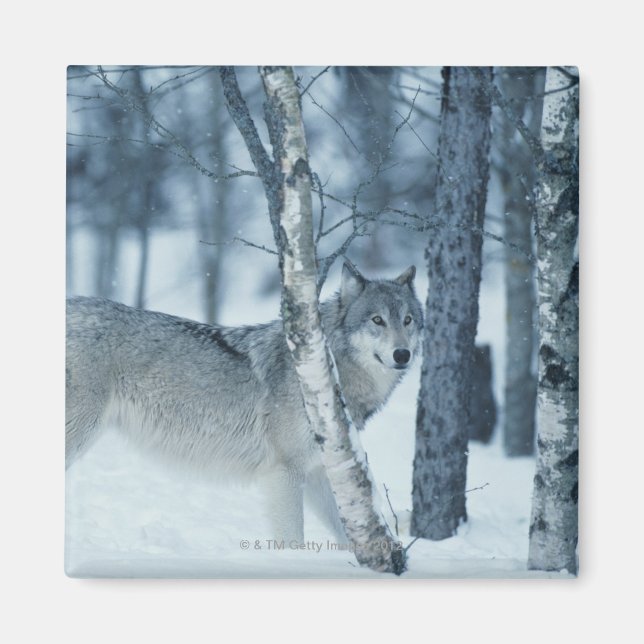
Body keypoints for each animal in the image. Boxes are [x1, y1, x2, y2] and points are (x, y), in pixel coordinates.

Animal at [66, 261, 423, 544]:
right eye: (377, 320)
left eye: (407, 320)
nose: (402, 354)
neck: (326, 372)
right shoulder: (284, 472)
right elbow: (292, 541)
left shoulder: (318, 472)